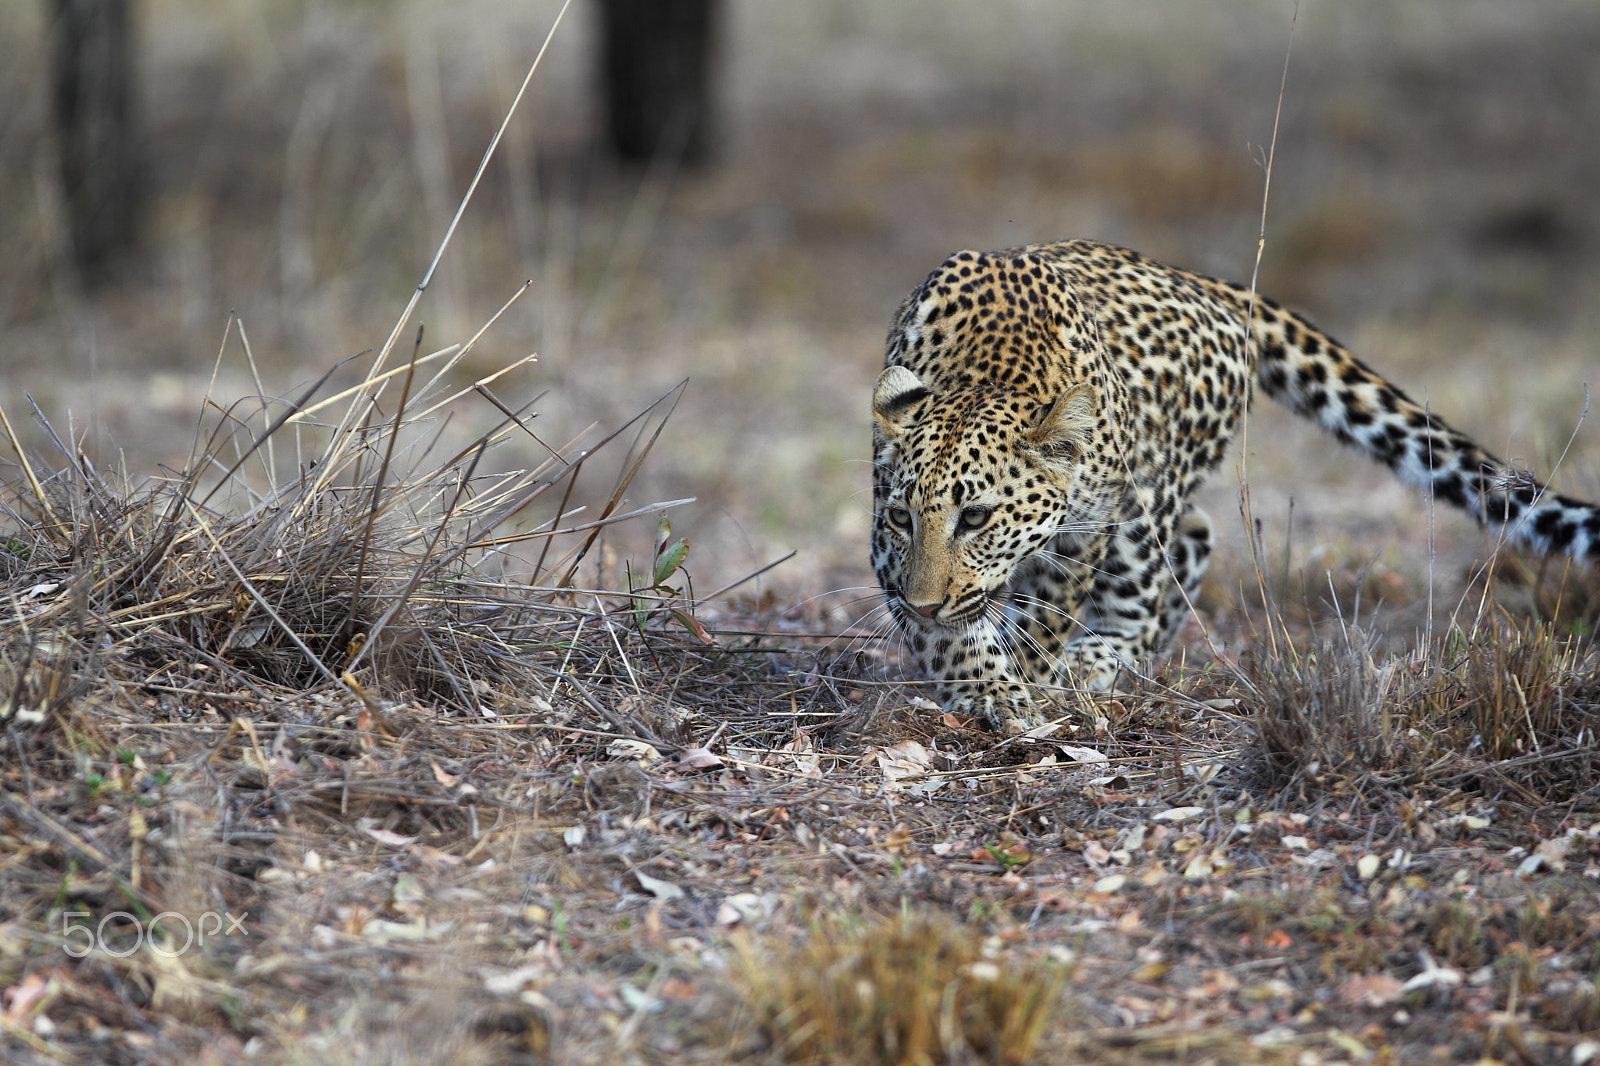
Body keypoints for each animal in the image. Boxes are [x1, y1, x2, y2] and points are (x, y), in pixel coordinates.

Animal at [871, 239, 1600, 730]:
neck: (983, 376)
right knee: (1196, 537)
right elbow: (948, 631)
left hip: (1146, 498)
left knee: (1153, 575)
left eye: (977, 518)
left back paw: (1099, 661)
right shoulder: (888, 542)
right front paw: (985, 685)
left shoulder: (1085, 535)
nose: (924, 605)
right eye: (906, 519)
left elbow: (1044, 618)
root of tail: (1203, 282)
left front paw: (1024, 680)